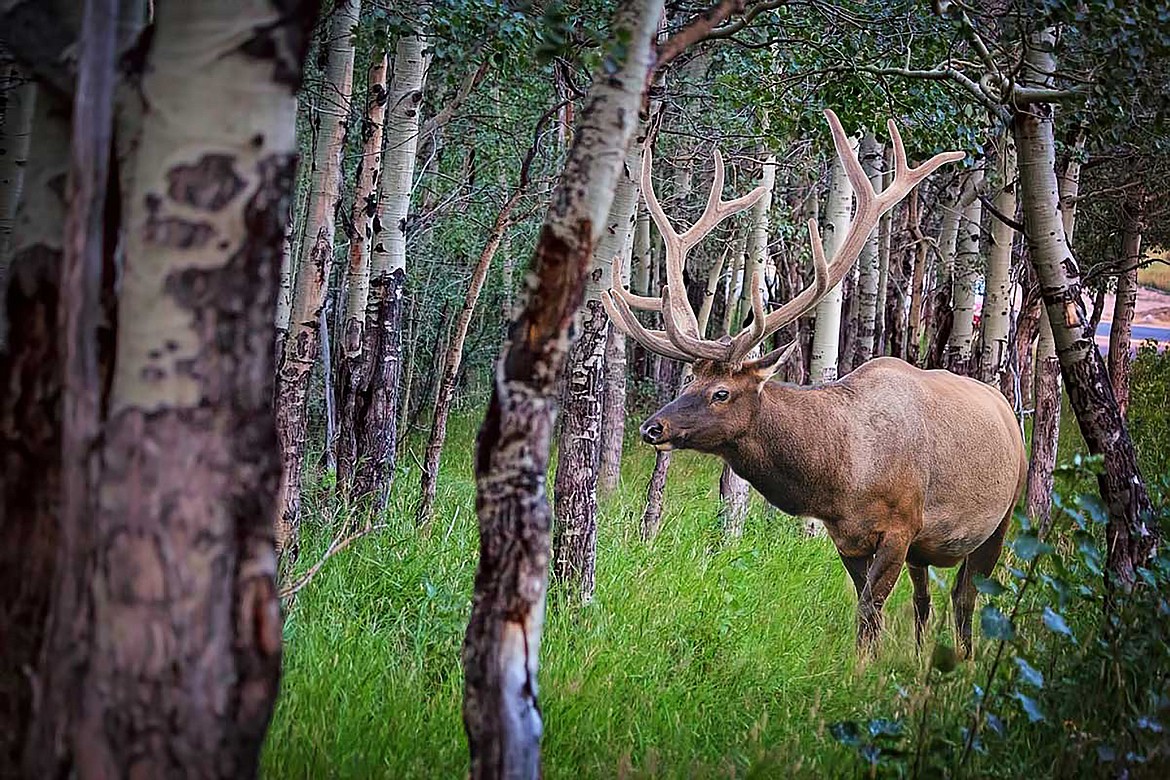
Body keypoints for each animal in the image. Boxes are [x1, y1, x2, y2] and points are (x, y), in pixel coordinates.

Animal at [608, 109, 1029, 654]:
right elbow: (868, 612)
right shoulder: (848, 537)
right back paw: (922, 659)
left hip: (1002, 516)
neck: (843, 477)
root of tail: (1007, 410)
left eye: (721, 392)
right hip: (929, 548)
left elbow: (870, 611)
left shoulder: (902, 524)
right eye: (688, 383)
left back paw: (964, 661)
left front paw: (863, 670)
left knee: (964, 598)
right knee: (925, 601)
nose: (652, 428)